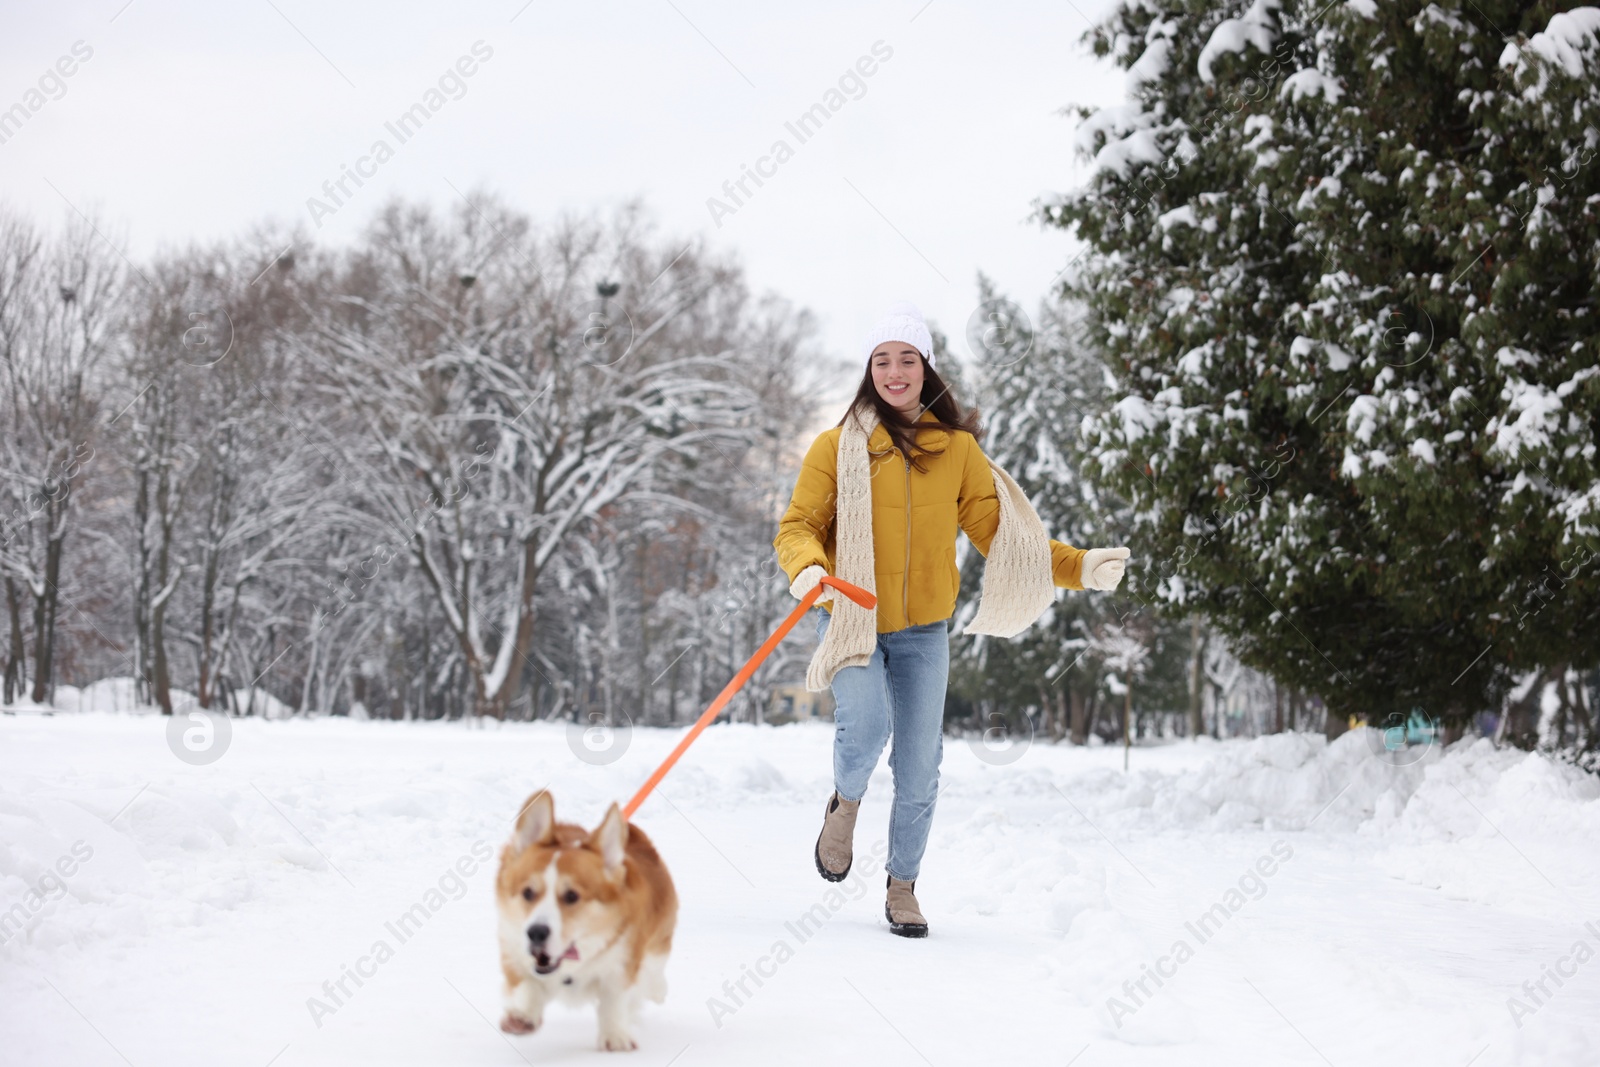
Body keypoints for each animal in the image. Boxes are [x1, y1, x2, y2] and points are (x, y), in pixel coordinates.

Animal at [496, 793, 678, 1049]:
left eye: (572, 896)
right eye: (528, 893)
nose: (535, 932)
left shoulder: (623, 961)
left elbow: (614, 999)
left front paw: (615, 1038)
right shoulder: (513, 950)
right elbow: (527, 984)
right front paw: (521, 1017)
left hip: (659, 941)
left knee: (654, 974)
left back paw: (657, 990)